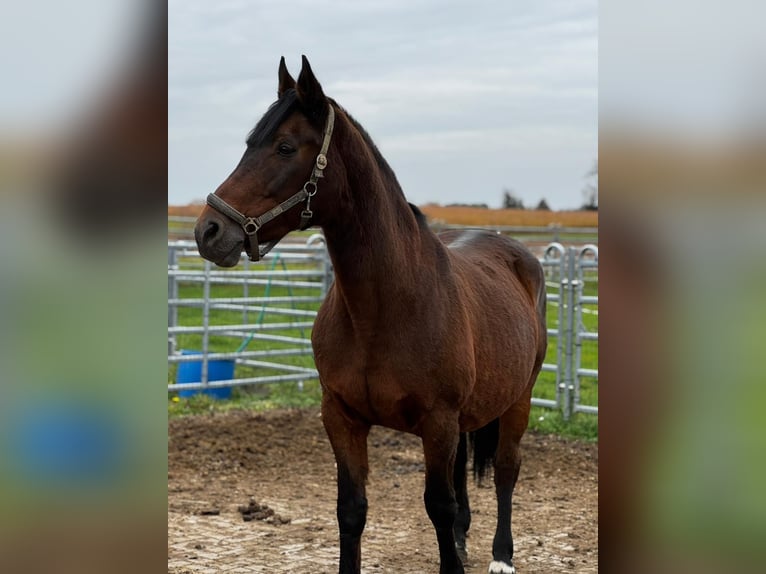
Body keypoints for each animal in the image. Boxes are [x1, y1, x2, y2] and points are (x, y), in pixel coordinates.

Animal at [194, 56, 547, 574]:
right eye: (248, 145)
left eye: (284, 146)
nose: (209, 231)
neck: (381, 310)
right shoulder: (342, 418)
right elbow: (352, 510)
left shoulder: (437, 423)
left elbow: (438, 506)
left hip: (518, 398)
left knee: (505, 470)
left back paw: (501, 556)